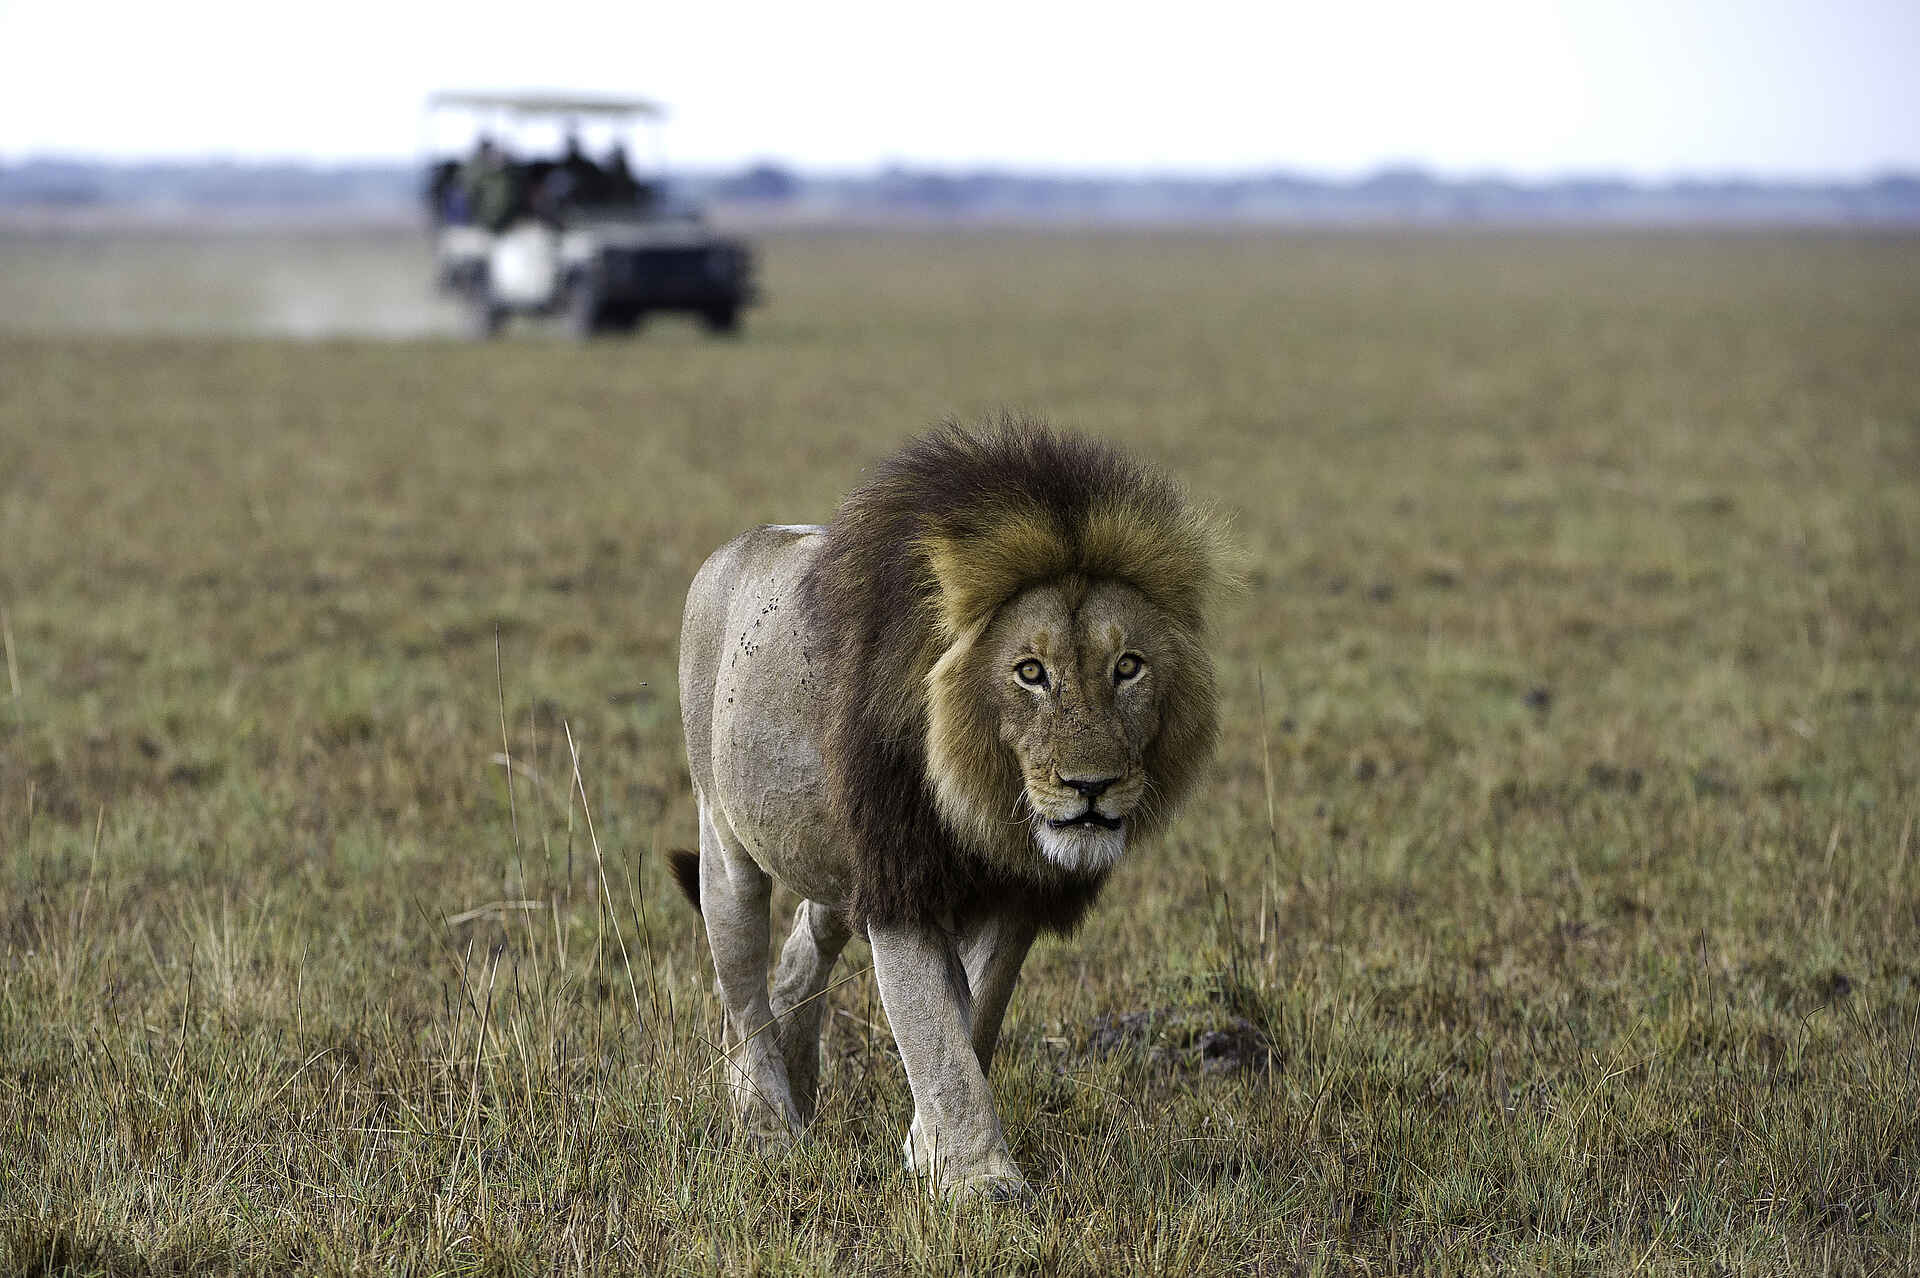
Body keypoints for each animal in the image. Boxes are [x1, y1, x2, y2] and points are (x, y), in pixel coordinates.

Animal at [672, 420, 1236, 1199]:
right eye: (1030, 672)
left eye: (1128, 667)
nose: (1091, 786)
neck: (983, 801)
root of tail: (733, 548)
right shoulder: (901, 878)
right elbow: (935, 1028)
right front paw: (980, 1183)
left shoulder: (1016, 892)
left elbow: (976, 1015)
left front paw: (924, 1151)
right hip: (725, 838)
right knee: (741, 984)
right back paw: (767, 1127)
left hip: (837, 860)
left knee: (806, 943)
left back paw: (800, 1073)